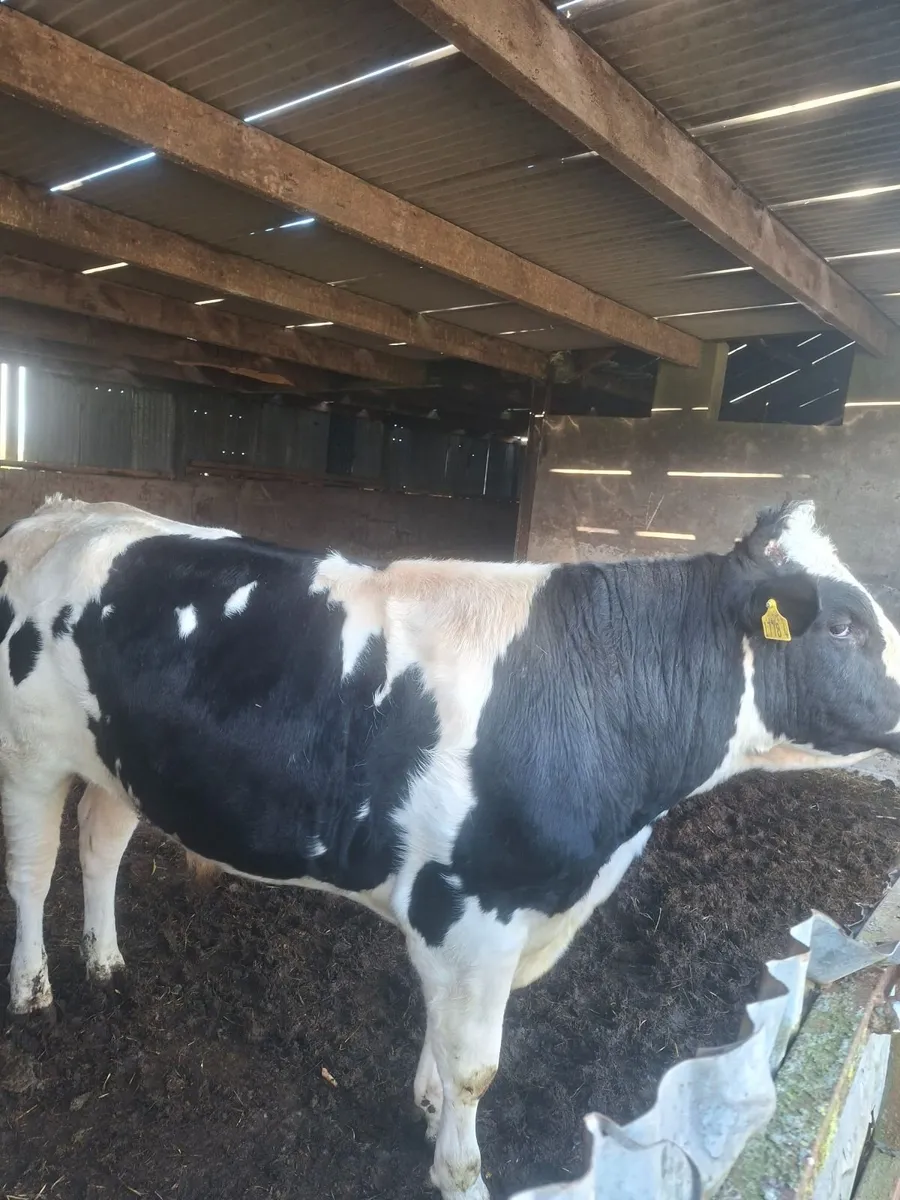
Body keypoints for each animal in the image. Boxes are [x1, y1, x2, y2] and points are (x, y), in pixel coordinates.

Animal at [1, 495, 900, 1200]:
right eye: (844, 625)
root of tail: (69, 511)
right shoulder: (466, 909)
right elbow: (475, 1065)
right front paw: (462, 1175)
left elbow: (442, 1041)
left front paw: (430, 1112)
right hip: (31, 754)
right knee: (32, 871)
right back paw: (34, 990)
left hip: (121, 764)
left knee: (101, 845)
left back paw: (107, 962)